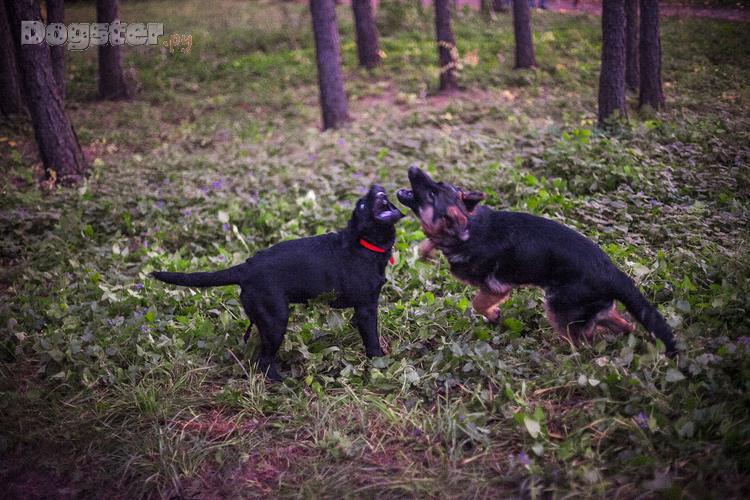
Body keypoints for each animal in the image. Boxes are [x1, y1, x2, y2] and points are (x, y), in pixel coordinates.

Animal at [152, 185, 404, 380]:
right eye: (361, 206)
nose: (375, 187)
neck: (365, 244)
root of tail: (245, 268)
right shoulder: (366, 307)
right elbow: (372, 340)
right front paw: (380, 362)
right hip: (276, 320)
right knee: (263, 361)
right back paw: (282, 382)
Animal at [397, 166, 677, 356]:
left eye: (431, 194)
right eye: (435, 184)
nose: (413, 168)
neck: (469, 228)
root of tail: (612, 272)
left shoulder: (496, 287)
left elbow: (478, 303)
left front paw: (493, 314)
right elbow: (428, 242)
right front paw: (425, 250)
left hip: (559, 310)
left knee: (584, 340)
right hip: (593, 309)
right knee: (626, 326)